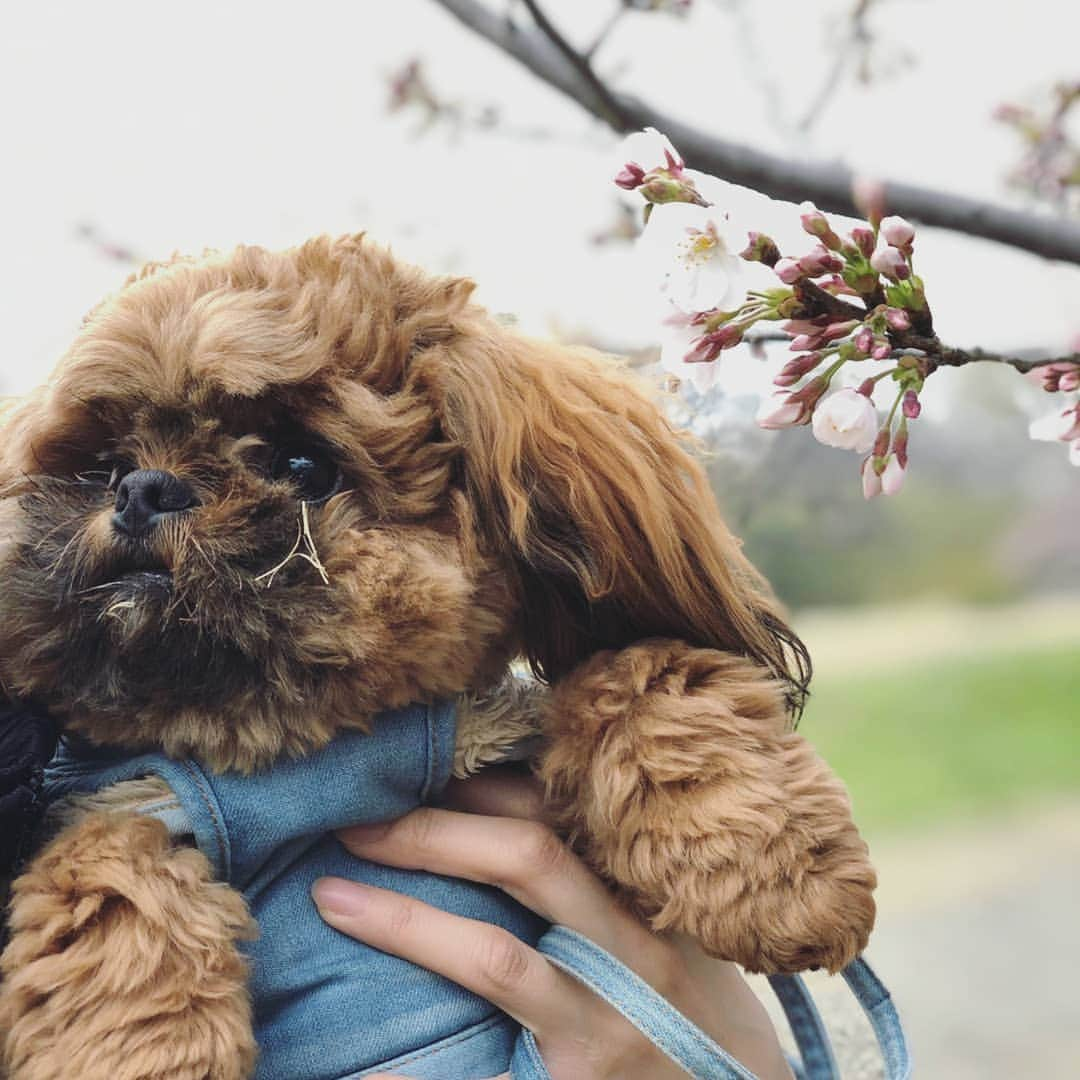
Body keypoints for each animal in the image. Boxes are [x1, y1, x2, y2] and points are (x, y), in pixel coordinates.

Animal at [0, 238, 872, 1080]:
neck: (295, 762)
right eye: (105, 463)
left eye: (302, 464)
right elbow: (104, 869)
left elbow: (641, 675)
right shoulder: (132, 800)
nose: (143, 488)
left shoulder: (494, 730)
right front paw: (143, 1047)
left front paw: (783, 879)